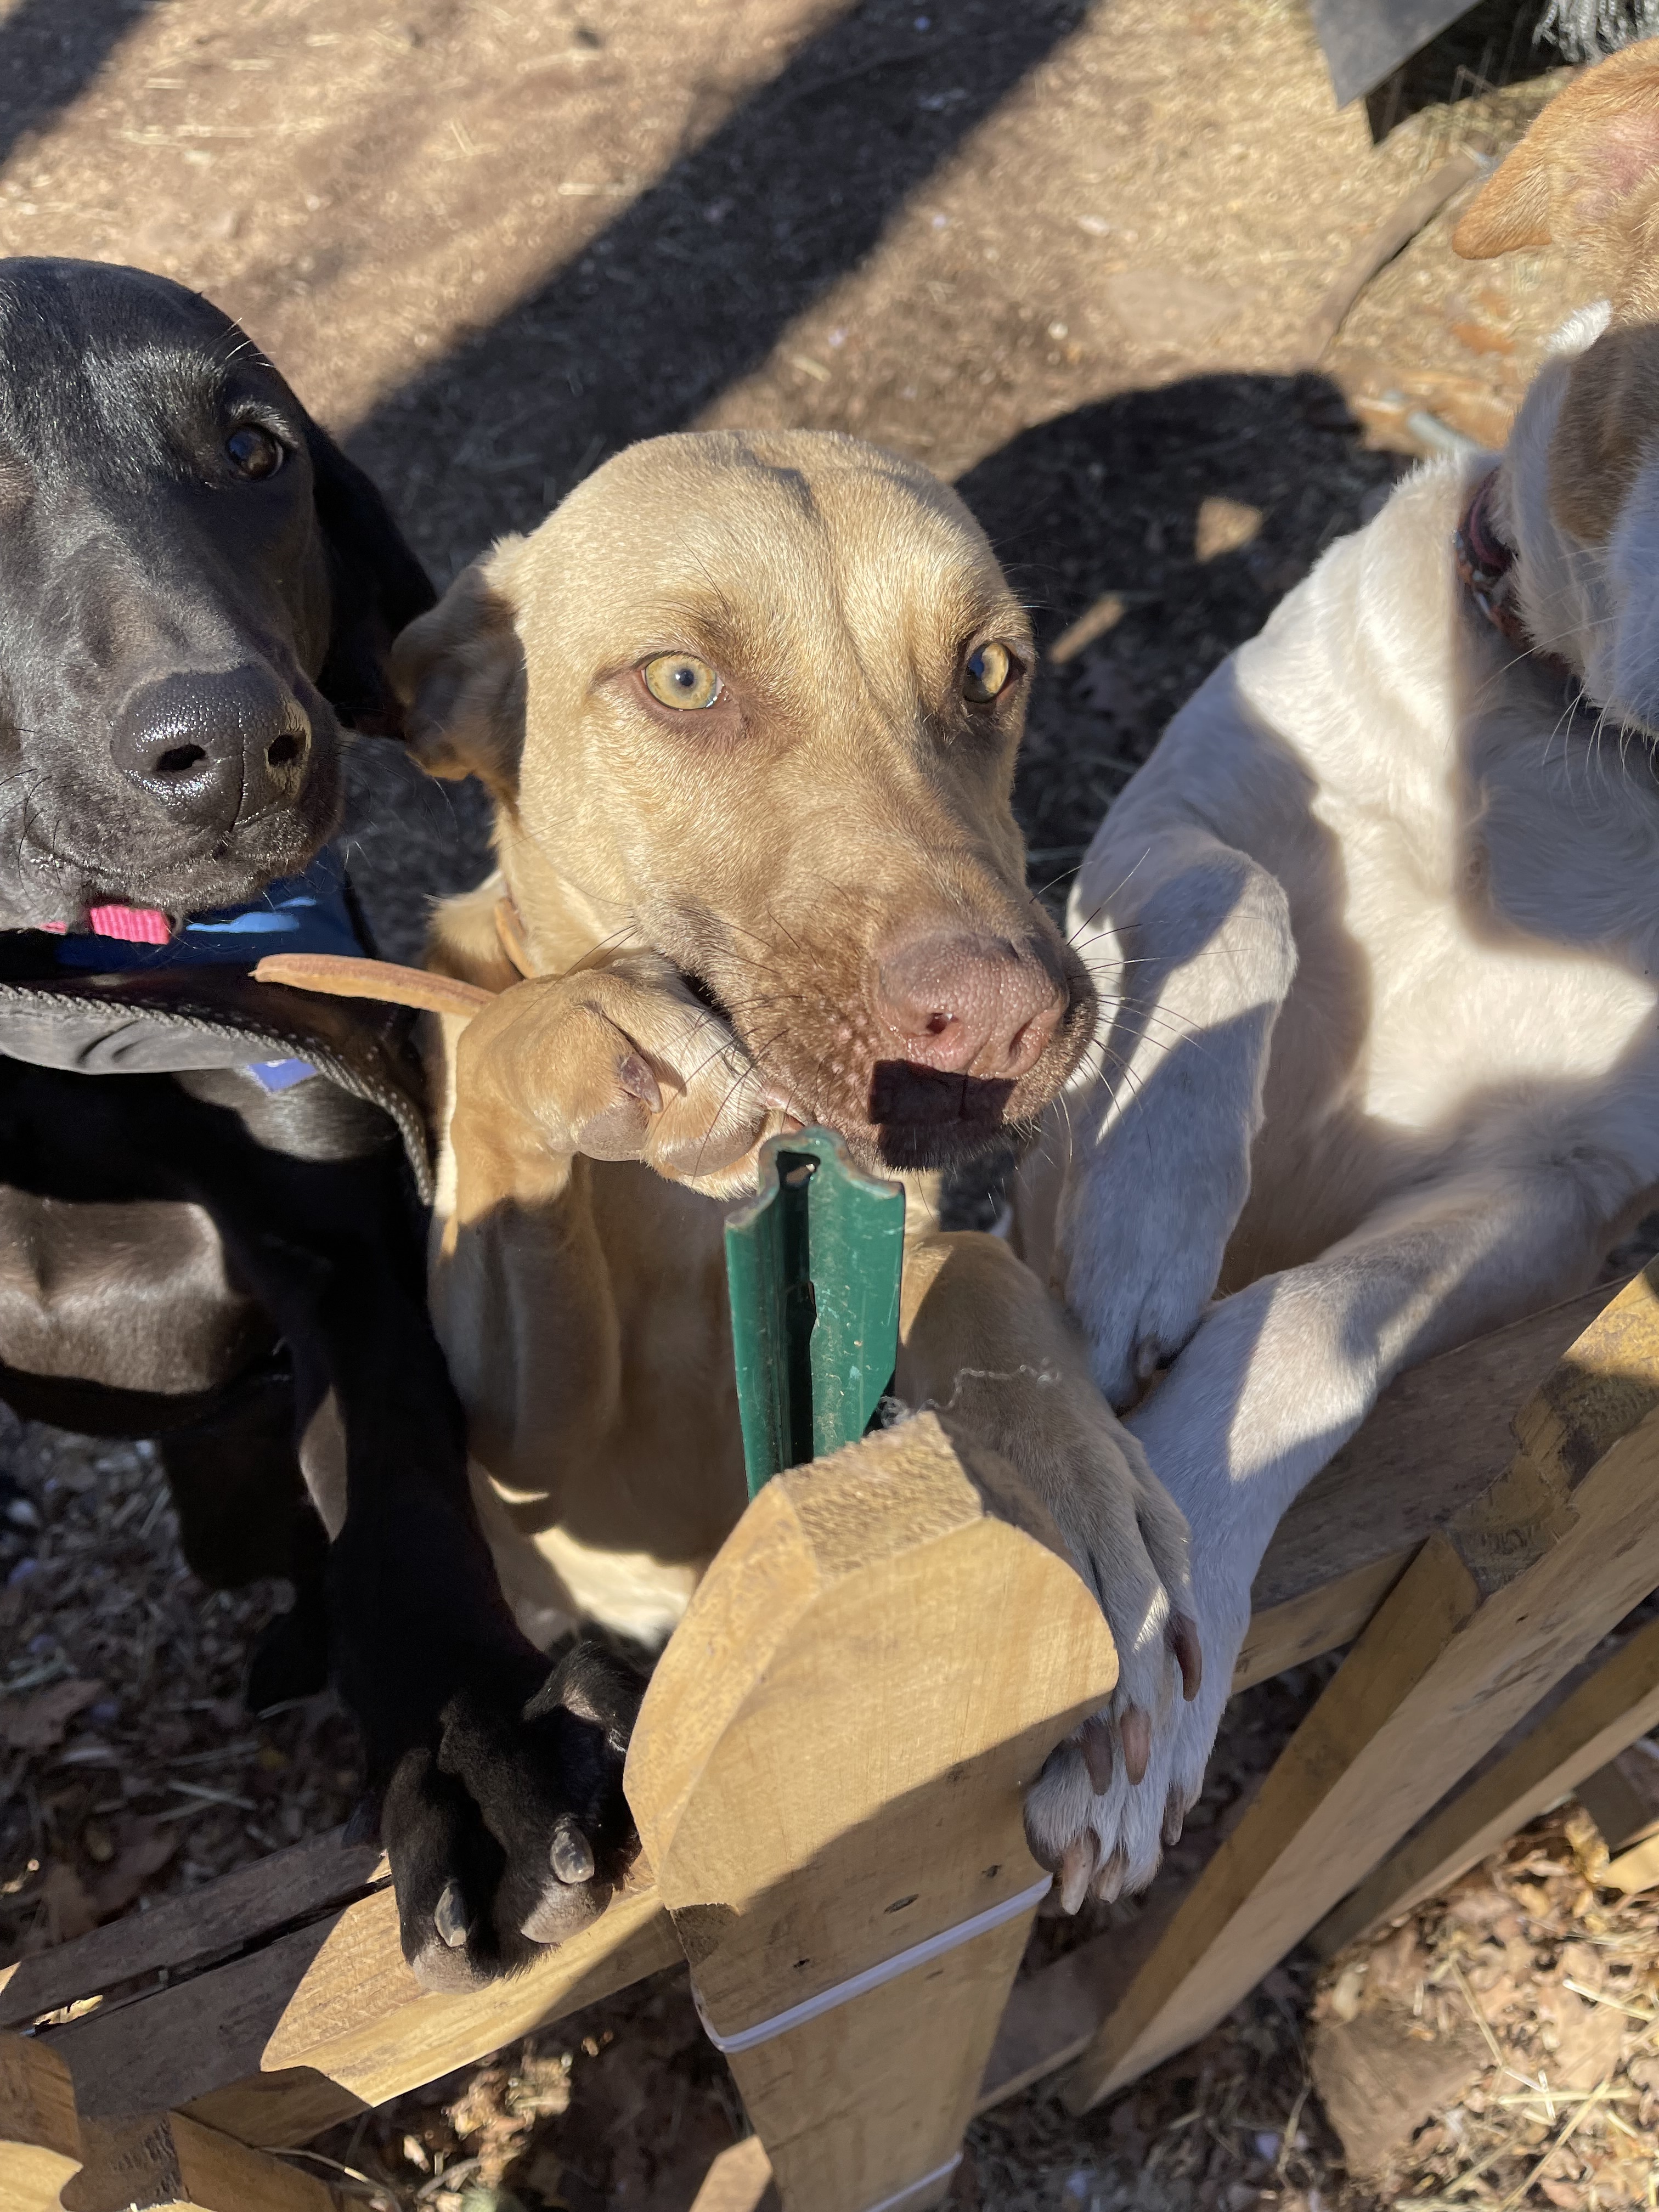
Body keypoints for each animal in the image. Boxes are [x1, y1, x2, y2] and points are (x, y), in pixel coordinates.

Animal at [396, 422, 1203, 1928]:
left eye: (989, 669)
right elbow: (513, 1079)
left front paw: (1096, 1526)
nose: (1005, 1026)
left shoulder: (888, 1251)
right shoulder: (520, 1438)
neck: (708, 1202)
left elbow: (981, 1269)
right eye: (682, 681)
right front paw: (578, 1025)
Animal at [1026, 35, 1659, 1902]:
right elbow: (1249, 897)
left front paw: (1155, 1651)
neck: (1571, 785)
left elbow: (1303, 1322)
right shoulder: (1153, 830)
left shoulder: (1563, 1192)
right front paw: (1145, 1243)